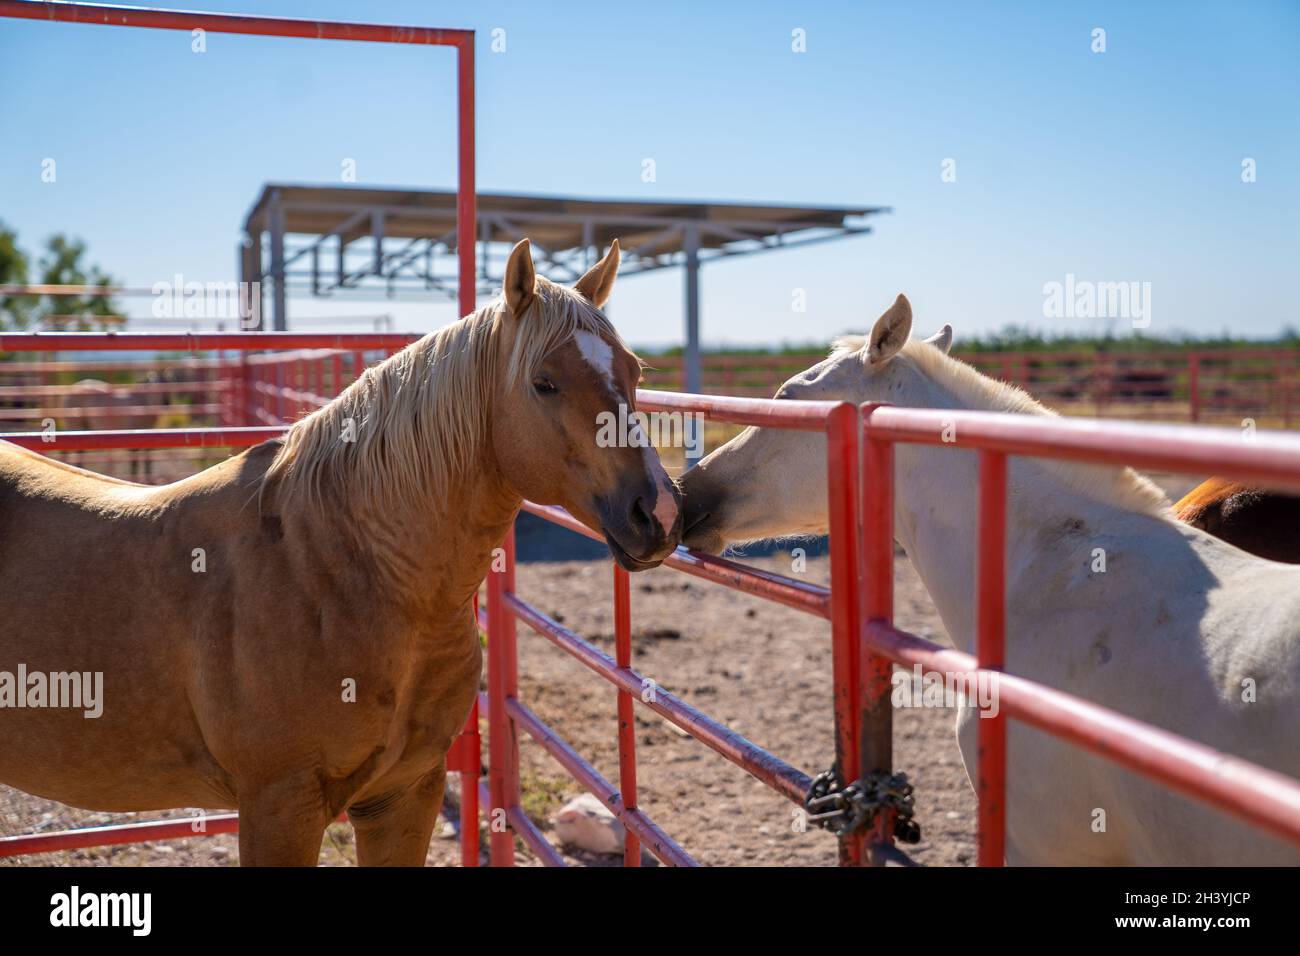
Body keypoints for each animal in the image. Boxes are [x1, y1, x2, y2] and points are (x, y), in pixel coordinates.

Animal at [0, 239, 681, 868]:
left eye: (635, 371)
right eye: (544, 382)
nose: (661, 513)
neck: (339, 568)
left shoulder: (406, 793)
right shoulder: (280, 804)